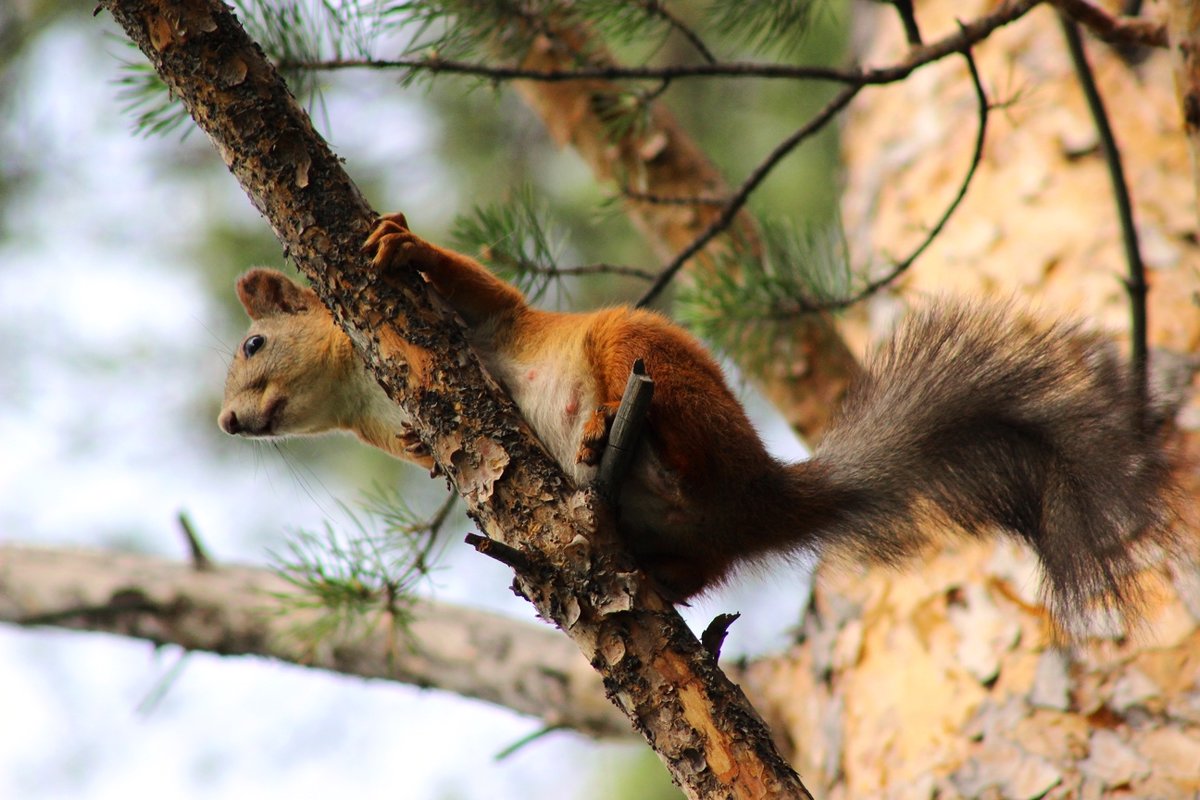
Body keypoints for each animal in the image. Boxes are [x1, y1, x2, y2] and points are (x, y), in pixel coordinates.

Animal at [220, 215, 1176, 628]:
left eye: (253, 342)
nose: (227, 422)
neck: (365, 399)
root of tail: (761, 490)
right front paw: (424, 448)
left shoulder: (486, 322)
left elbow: (472, 286)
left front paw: (400, 241)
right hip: (691, 533)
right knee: (702, 568)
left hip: (639, 353)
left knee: (664, 427)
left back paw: (613, 431)